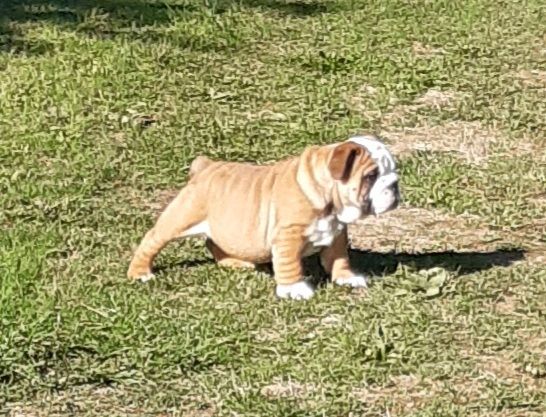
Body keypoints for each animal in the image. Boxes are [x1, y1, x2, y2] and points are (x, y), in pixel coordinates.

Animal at [127, 134, 400, 300]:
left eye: (394, 171)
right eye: (371, 176)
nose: (395, 185)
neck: (329, 202)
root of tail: (206, 166)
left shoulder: (336, 235)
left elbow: (339, 259)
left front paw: (347, 278)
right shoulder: (288, 236)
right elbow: (290, 265)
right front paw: (294, 290)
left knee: (213, 244)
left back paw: (237, 263)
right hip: (181, 216)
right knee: (152, 240)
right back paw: (139, 273)